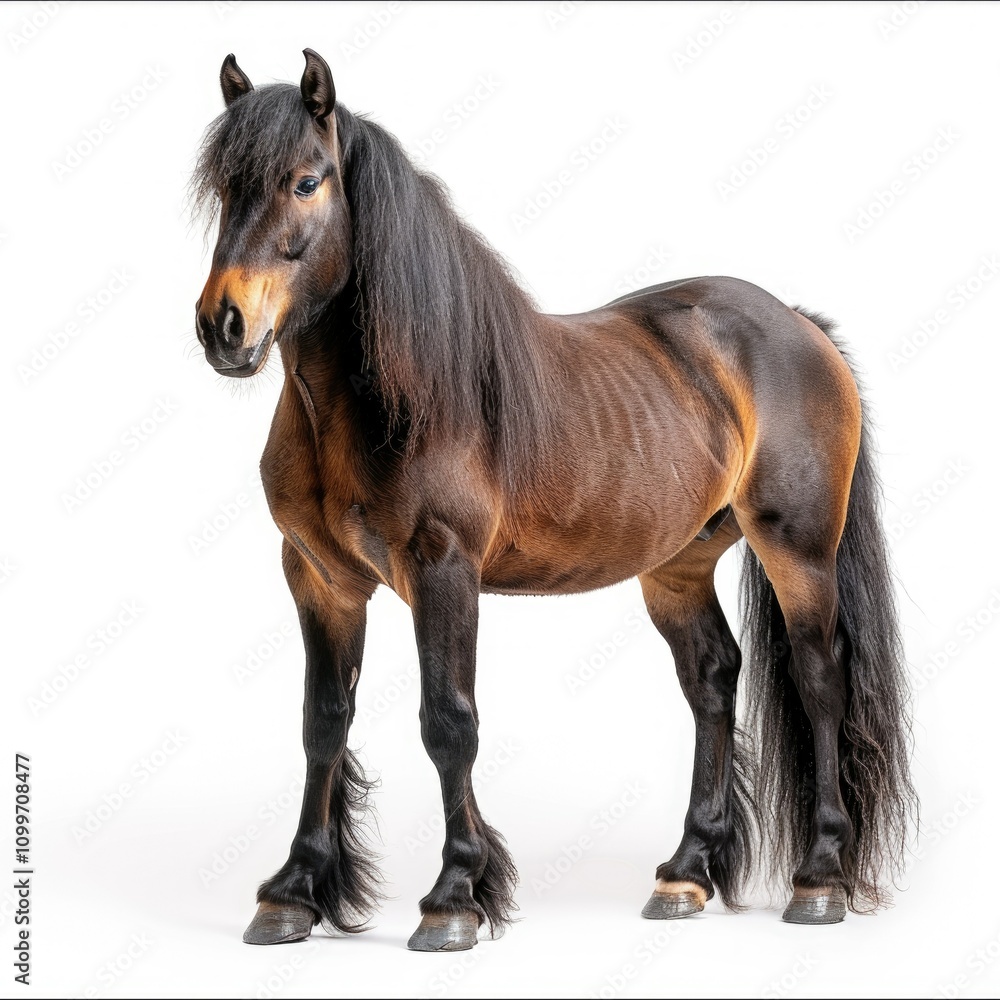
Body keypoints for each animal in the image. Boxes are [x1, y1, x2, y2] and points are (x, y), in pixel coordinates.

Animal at [192, 49, 916, 952]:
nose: (223, 325)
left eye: (305, 181)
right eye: (226, 188)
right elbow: (322, 721)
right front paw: (293, 890)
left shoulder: (443, 571)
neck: (389, 397)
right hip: (678, 566)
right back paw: (685, 873)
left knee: (819, 677)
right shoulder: (319, 580)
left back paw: (818, 877)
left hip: (800, 548)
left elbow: (449, 723)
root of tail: (798, 324)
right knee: (713, 680)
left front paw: (455, 895)